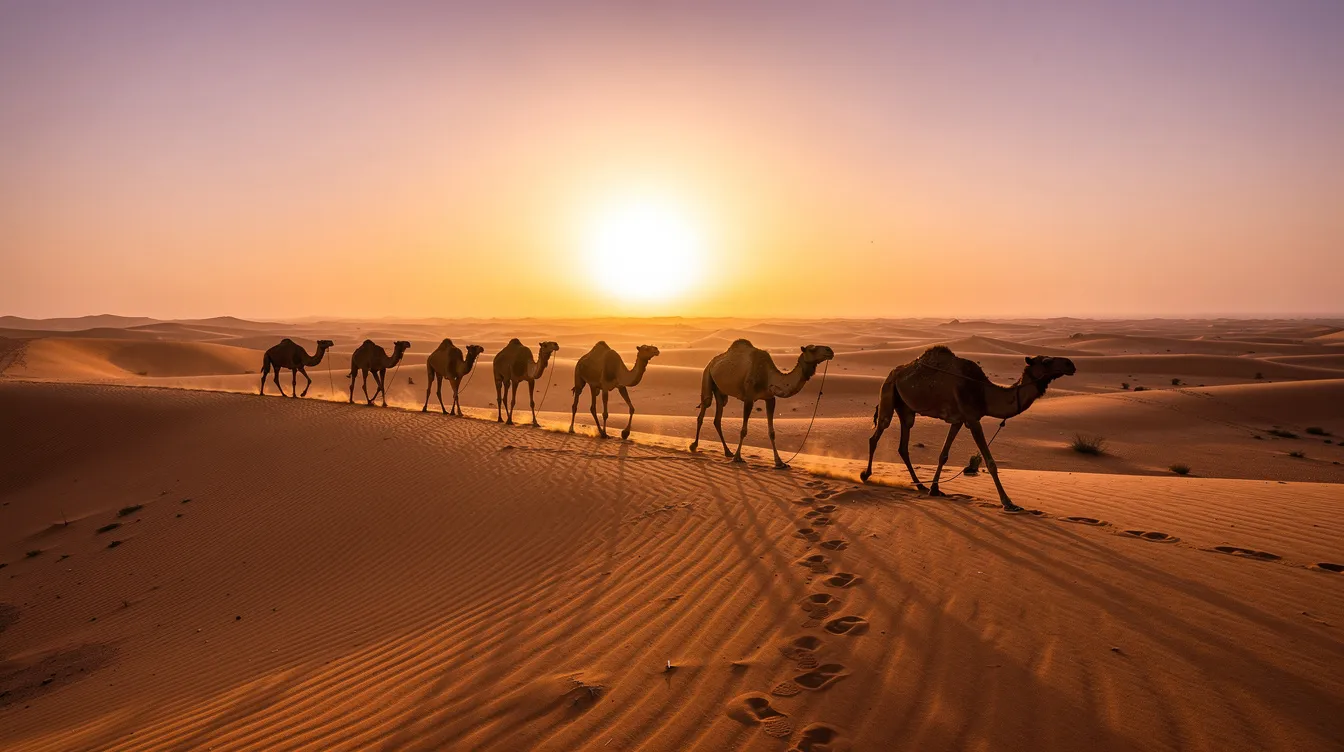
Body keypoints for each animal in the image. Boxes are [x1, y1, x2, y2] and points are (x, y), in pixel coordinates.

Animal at [689, 339, 835, 468]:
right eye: (812, 349)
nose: (830, 350)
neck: (768, 377)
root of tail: (712, 362)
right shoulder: (749, 398)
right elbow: (743, 430)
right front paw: (738, 457)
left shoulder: (770, 398)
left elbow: (772, 432)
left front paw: (779, 462)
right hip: (707, 375)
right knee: (703, 409)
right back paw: (694, 446)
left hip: (720, 392)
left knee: (717, 418)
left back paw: (728, 451)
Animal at [860, 346, 1076, 511]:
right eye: (1046, 361)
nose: (1070, 364)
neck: (983, 392)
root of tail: (893, 373)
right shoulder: (973, 419)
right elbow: (990, 462)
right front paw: (1008, 503)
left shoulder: (958, 420)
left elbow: (943, 455)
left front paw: (935, 489)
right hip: (888, 392)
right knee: (877, 434)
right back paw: (865, 475)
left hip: (906, 410)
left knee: (903, 445)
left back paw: (920, 485)